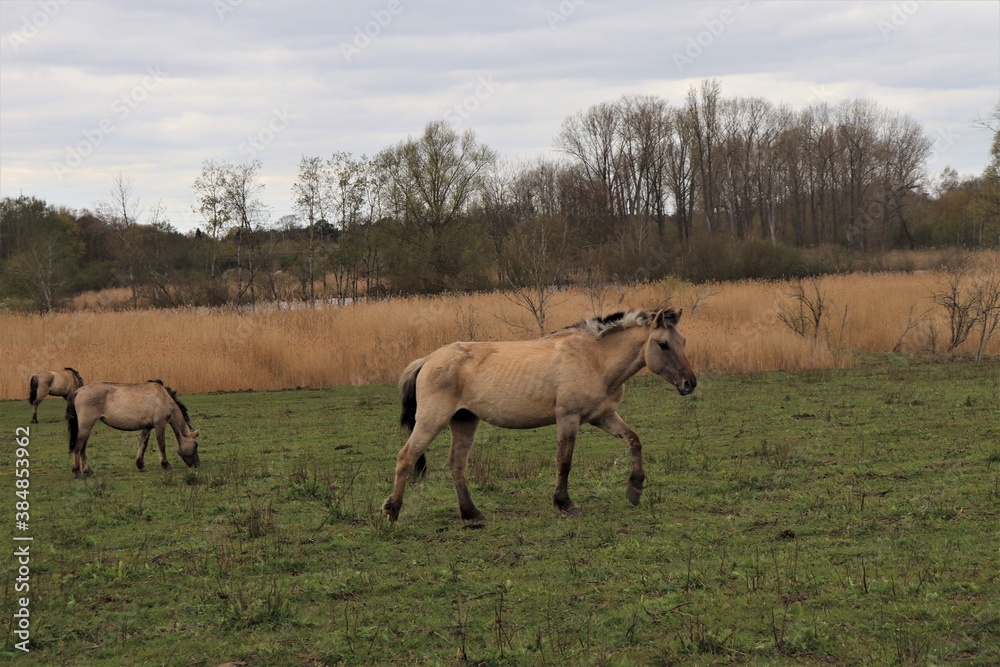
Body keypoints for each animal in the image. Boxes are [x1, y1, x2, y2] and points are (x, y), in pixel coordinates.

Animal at [66, 380, 200, 477]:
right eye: (196, 445)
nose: (197, 465)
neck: (163, 398)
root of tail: (78, 391)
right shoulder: (160, 424)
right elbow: (161, 444)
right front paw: (166, 464)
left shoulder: (147, 427)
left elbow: (143, 445)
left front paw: (141, 465)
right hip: (86, 426)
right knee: (78, 447)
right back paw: (77, 471)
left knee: (82, 448)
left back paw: (88, 471)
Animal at [382, 308, 696, 523]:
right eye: (663, 344)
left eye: (683, 340)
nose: (690, 383)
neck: (596, 359)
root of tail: (427, 359)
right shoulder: (568, 418)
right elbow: (564, 461)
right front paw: (565, 504)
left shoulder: (604, 417)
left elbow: (634, 441)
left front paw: (635, 489)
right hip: (431, 421)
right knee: (407, 457)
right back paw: (393, 510)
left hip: (464, 421)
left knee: (456, 464)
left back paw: (471, 514)